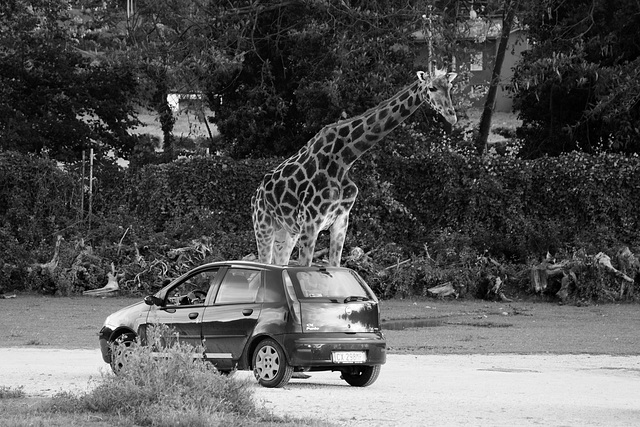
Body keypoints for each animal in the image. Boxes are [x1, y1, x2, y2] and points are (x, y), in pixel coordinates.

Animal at [252, 69, 458, 268]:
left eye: (450, 87)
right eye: (431, 88)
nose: (452, 116)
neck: (345, 158)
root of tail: (256, 194)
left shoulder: (341, 221)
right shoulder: (311, 222)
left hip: (287, 232)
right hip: (263, 226)